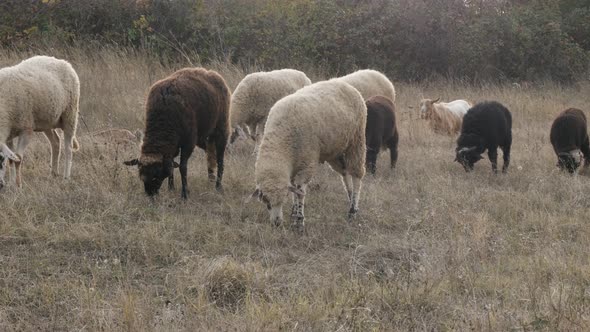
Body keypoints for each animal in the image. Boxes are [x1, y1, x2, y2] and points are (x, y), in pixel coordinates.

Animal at [125, 66, 231, 198]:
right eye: (141, 176)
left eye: (156, 175)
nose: (151, 195)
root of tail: (210, 72)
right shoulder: (173, 146)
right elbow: (171, 165)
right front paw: (171, 188)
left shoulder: (188, 143)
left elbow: (182, 167)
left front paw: (184, 194)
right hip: (202, 138)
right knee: (211, 154)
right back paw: (210, 179)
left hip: (221, 128)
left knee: (220, 158)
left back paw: (218, 186)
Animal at [249, 80, 368, 231]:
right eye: (267, 202)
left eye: (282, 200)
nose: (277, 223)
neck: (281, 141)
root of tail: (346, 85)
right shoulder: (294, 165)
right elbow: (294, 189)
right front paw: (294, 215)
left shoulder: (306, 163)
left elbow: (300, 191)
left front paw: (299, 221)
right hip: (336, 151)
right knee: (345, 174)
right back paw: (351, 200)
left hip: (356, 141)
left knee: (356, 176)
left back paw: (353, 210)